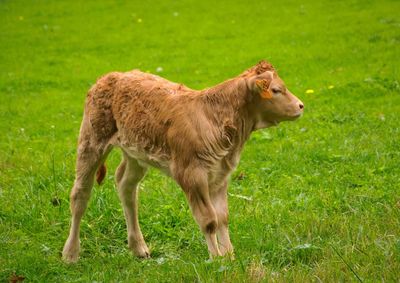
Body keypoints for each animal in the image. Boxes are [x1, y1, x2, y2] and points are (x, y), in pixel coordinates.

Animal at [61, 60, 304, 264]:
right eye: (276, 90)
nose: (301, 105)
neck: (214, 118)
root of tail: (111, 75)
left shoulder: (220, 175)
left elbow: (222, 218)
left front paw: (230, 256)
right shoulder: (191, 175)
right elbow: (209, 220)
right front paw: (216, 259)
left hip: (136, 154)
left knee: (126, 187)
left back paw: (139, 247)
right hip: (91, 142)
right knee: (80, 195)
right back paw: (71, 253)